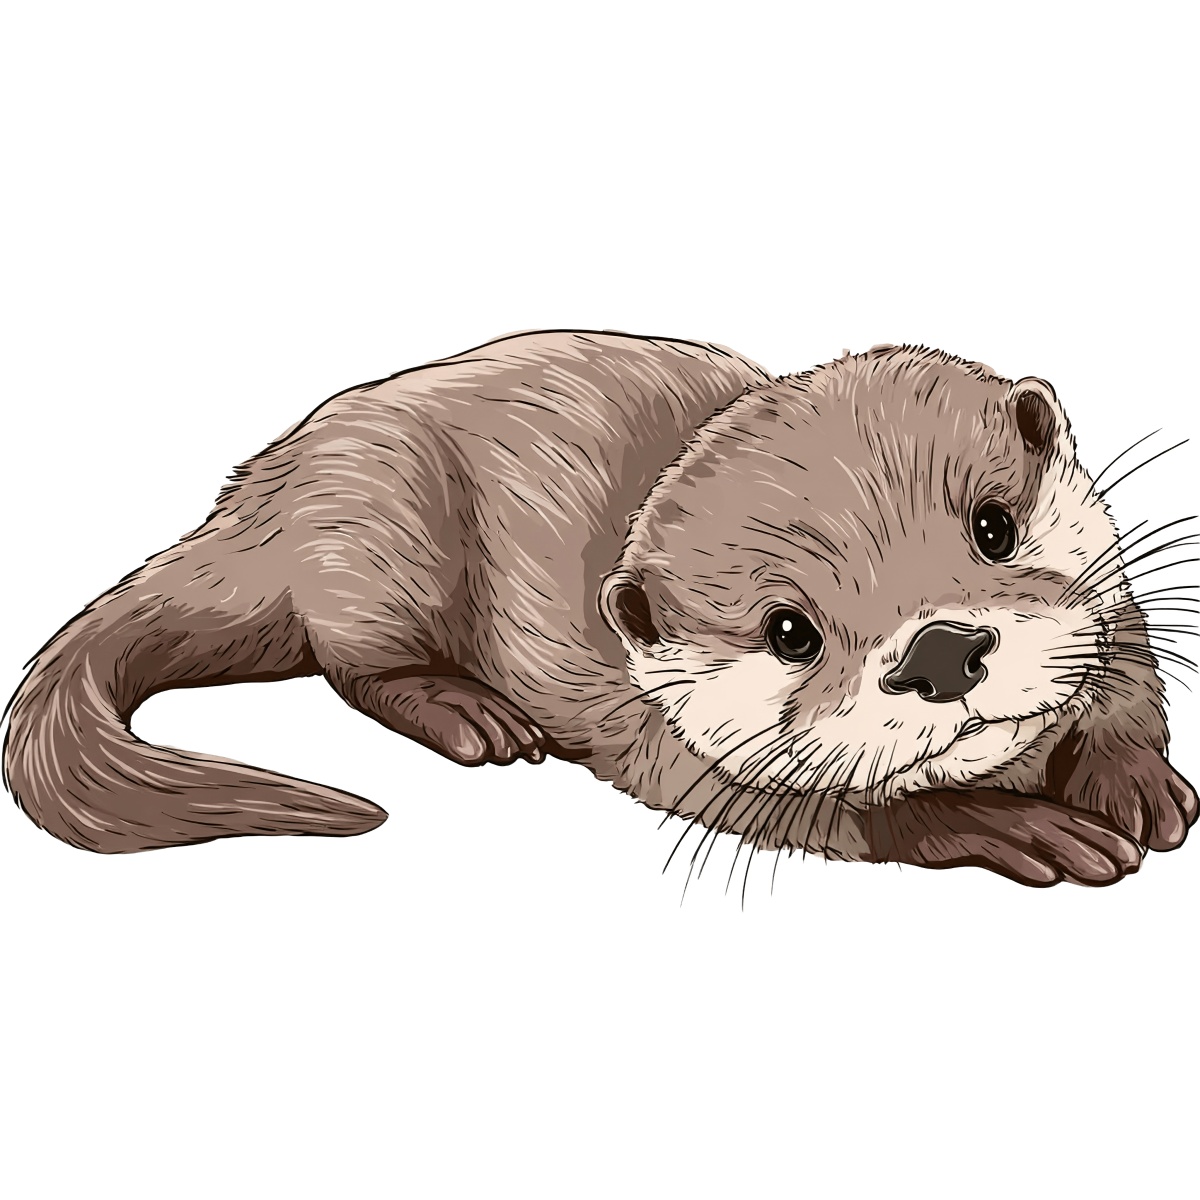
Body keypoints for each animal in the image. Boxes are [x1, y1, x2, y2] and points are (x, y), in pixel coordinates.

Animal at [3, 329, 1195, 886]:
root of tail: (270, 483)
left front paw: (1135, 779)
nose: (942, 652)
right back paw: (471, 716)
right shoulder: (661, 747)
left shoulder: (1115, 607)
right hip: (379, 534)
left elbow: (1125, 669)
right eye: (792, 632)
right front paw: (1005, 823)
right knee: (356, 665)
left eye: (993, 525)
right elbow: (834, 811)